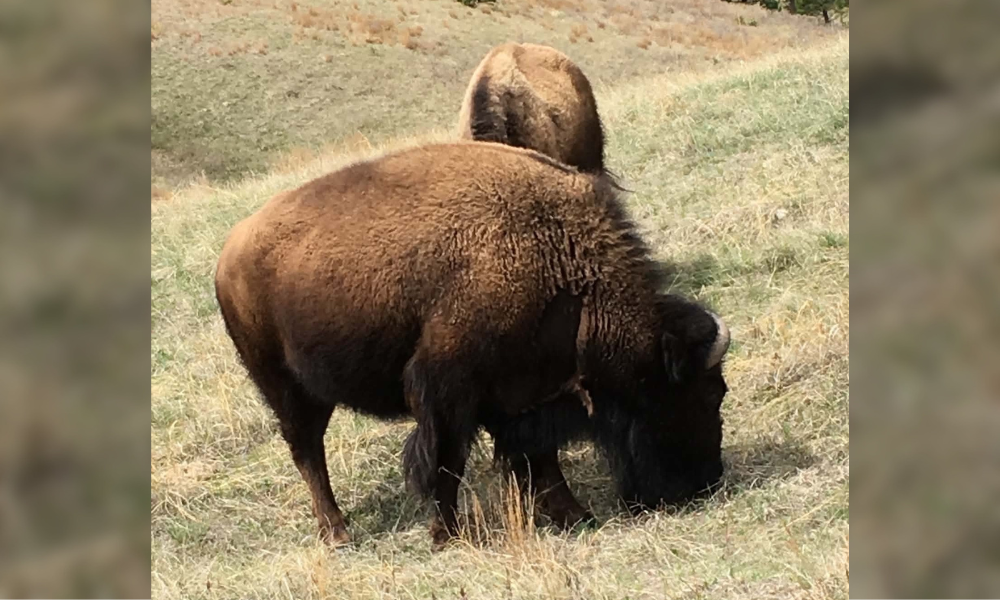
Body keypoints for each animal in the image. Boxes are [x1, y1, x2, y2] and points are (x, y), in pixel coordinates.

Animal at [214, 142, 730, 548]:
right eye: (710, 393)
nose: (706, 482)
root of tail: (229, 255)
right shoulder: (447, 392)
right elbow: (447, 461)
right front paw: (448, 535)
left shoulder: (520, 393)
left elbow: (537, 458)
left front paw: (575, 516)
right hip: (287, 389)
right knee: (308, 452)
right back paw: (338, 533)